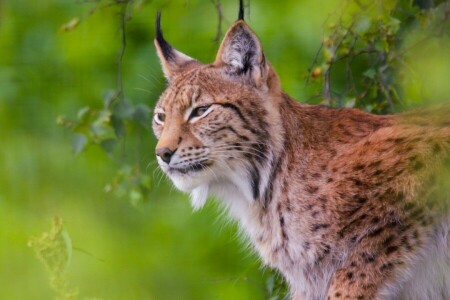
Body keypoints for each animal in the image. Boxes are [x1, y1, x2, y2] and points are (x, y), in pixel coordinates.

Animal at [151, 2, 450, 300]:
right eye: (161, 117)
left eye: (201, 111)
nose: (162, 153)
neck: (264, 183)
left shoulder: (425, 155)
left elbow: (356, 270)